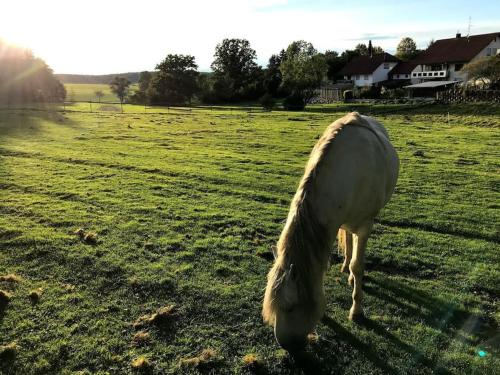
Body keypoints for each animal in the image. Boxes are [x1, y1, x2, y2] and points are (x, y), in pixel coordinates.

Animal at [262, 111, 398, 352]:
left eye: (290, 306)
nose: (287, 345)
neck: (350, 170)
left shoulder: (365, 226)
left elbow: (358, 265)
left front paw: (357, 312)